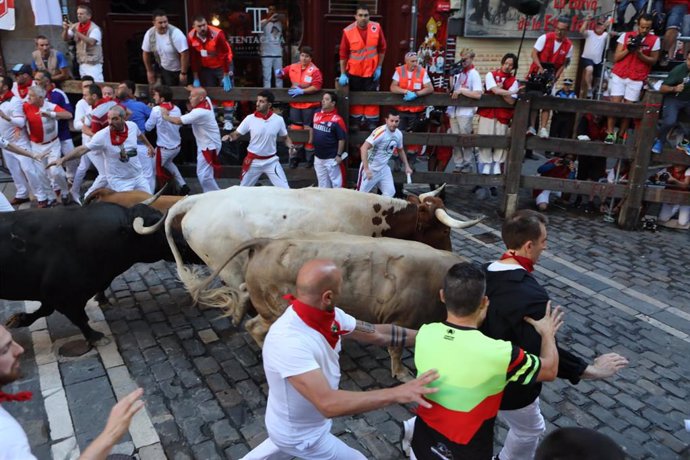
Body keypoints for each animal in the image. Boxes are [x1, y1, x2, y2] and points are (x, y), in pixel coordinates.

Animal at [0, 203, 170, 344]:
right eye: (158, 231)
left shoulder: (53, 295)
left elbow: (46, 310)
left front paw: (18, 319)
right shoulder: (61, 295)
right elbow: (78, 318)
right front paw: (95, 337)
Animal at [153, 185, 482, 326]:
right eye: (443, 231)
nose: (451, 256)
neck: (371, 216)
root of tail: (197, 200)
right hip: (230, 267)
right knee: (242, 293)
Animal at [191, 234, 464, 380]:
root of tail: (268, 242)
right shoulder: (402, 318)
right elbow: (396, 348)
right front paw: (402, 373)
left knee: (244, 294)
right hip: (276, 309)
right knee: (255, 326)